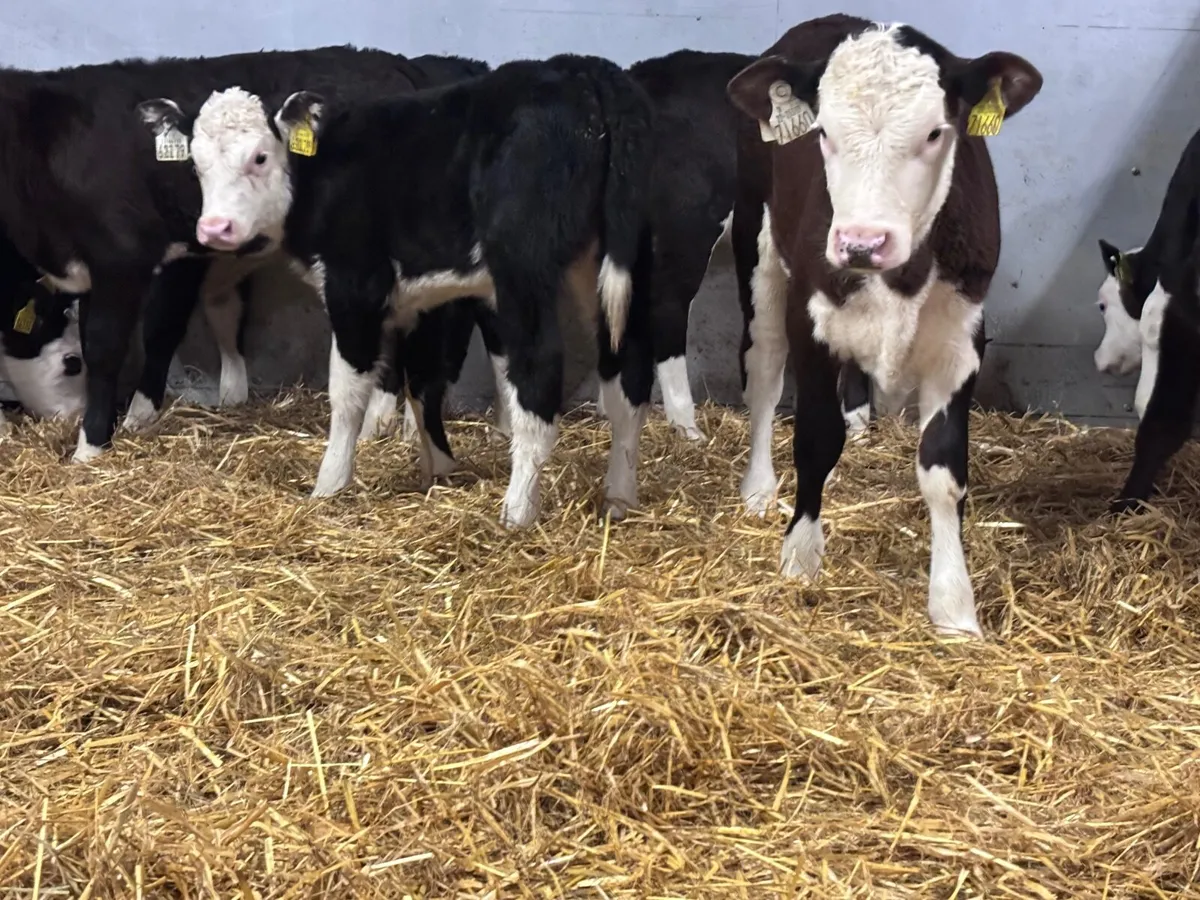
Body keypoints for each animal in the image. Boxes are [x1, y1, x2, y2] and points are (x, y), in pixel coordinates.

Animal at [0, 45, 486, 465]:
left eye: (71, 365)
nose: (63, 418)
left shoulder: (121, 262)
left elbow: (109, 346)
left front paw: (92, 445)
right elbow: (193, 318)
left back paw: (392, 424)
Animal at [153, 54, 655, 526]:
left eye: (259, 156)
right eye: (195, 163)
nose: (215, 228)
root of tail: (580, 70)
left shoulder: (354, 287)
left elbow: (348, 392)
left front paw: (330, 484)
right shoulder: (421, 301)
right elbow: (421, 381)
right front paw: (439, 468)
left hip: (524, 272)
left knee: (539, 374)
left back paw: (517, 511)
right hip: (615, 269)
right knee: (628, 374)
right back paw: (619, 498)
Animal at [726, 14, 1043, 637]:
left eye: (936, 133)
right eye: (823, 132)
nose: (861, 244)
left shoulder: (962, 341)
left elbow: (944, 470)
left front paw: (954, 606)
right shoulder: (810, 321)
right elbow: (813, 440)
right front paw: (801, 558)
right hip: (761, 249)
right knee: (764, 374)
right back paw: (759, 488)